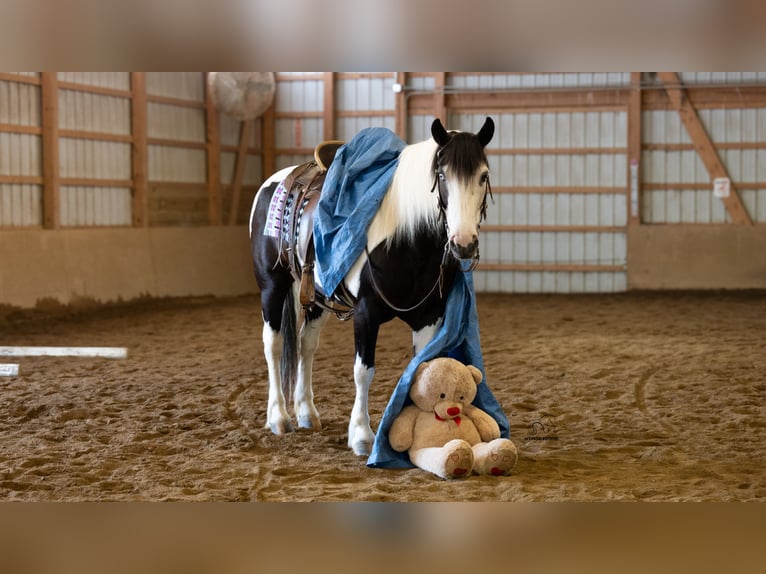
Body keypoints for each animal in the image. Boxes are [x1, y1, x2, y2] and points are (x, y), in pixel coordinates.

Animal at [249, 117, 495, 456]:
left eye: (483, 176)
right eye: (442, 175)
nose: (464, 243)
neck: (409, 238)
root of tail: (279, 179)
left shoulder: (429, 316)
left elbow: (423, 367)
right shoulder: (366, 313)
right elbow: (363, 371)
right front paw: (362, 435)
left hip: (316, 296)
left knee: (305, 344)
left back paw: (307, 412)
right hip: (271, 288)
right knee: (273, 345)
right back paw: (279, 417)